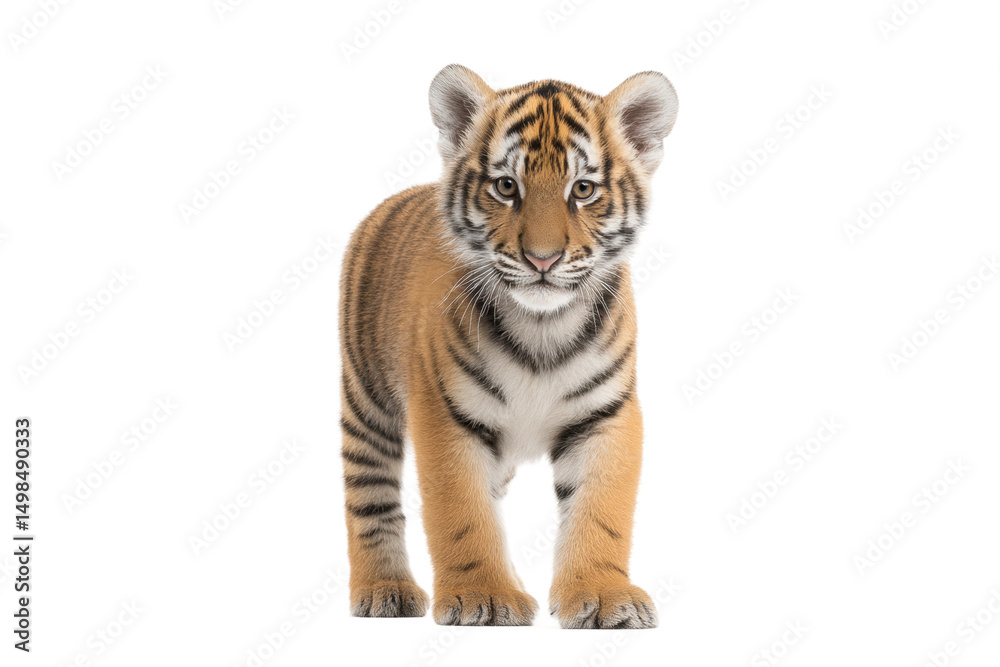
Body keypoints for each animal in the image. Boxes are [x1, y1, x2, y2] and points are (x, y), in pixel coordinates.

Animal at [339, 64, 678, 628]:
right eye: (505, 186)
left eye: (582, 189)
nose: (543, 259)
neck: (542, 326)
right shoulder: (445, 415)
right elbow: (461, 513)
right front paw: (484, 595)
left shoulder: (606, 413)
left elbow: (600, 509)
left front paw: (604, 595)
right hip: (366, 401)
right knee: (370, 499)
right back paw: (385, 589)